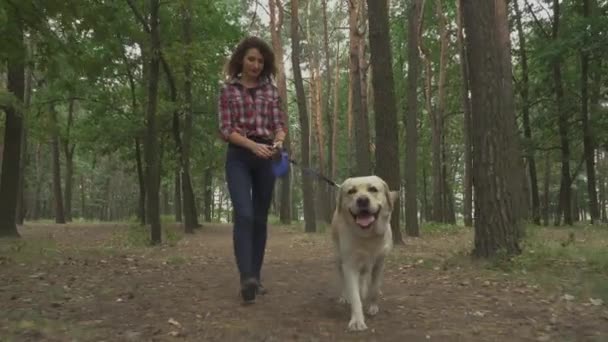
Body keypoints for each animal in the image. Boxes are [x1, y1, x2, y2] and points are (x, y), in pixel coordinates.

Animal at [330, 175, 396, 330]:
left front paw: (373, 306)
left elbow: (375, 287)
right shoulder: (350, 264)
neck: (368, 237)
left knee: (365, 277)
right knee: (344, 280)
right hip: (339, 258)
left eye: (373, 189)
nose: (362, 200)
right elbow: (354, 296)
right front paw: (357, 321)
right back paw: (345, 296)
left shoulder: (380, 263)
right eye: (351, 191)